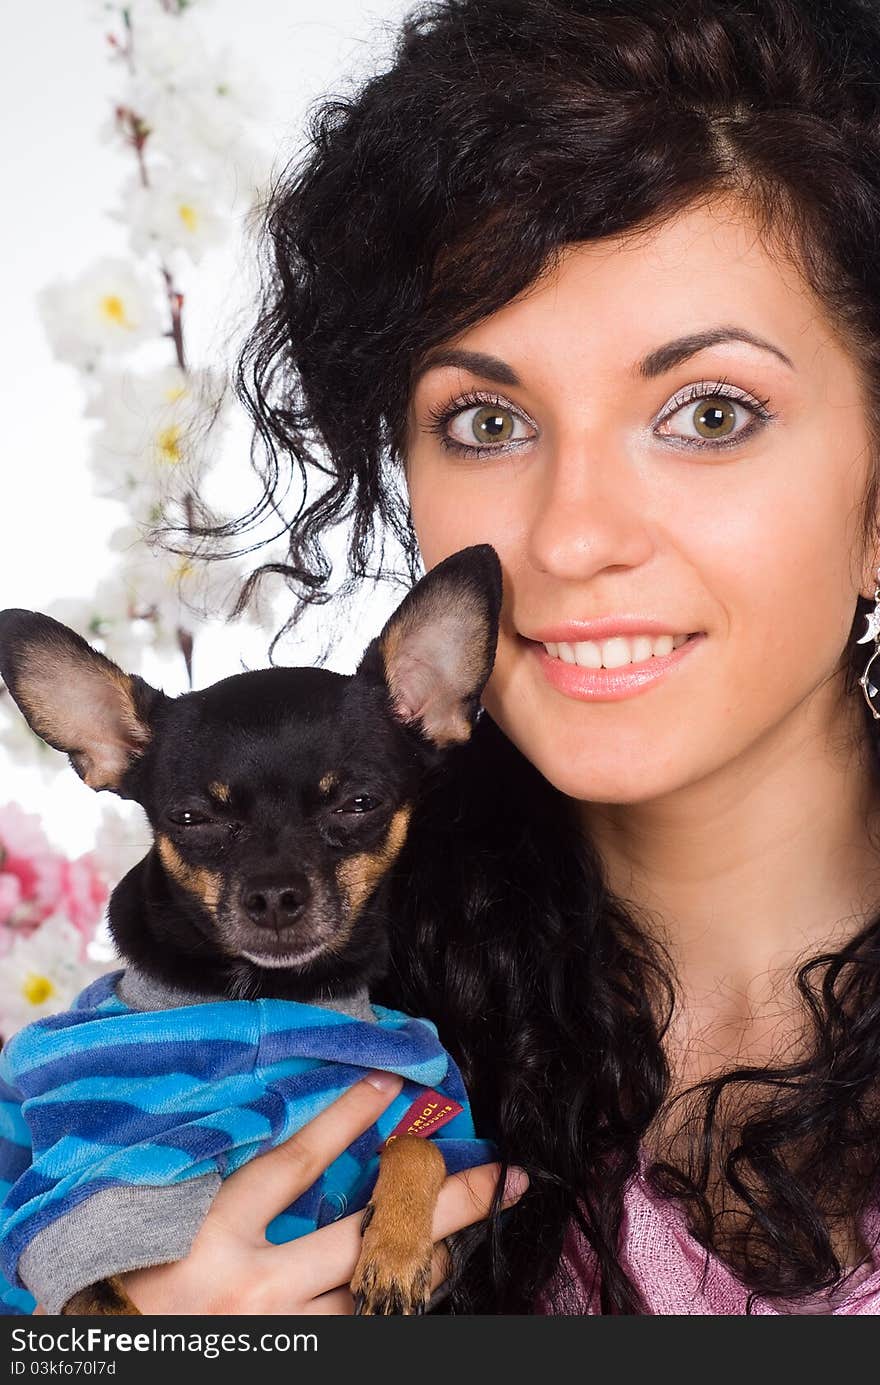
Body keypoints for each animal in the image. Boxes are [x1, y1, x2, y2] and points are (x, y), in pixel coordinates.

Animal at [0, 537, 501, 1307]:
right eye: (189, 817)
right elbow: (100, 1289)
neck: (268, 992)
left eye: (358, 803)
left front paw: (395, 1249)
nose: (272, 896)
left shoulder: (443, 1152)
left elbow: (417, 1144)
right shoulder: (84, 1193)